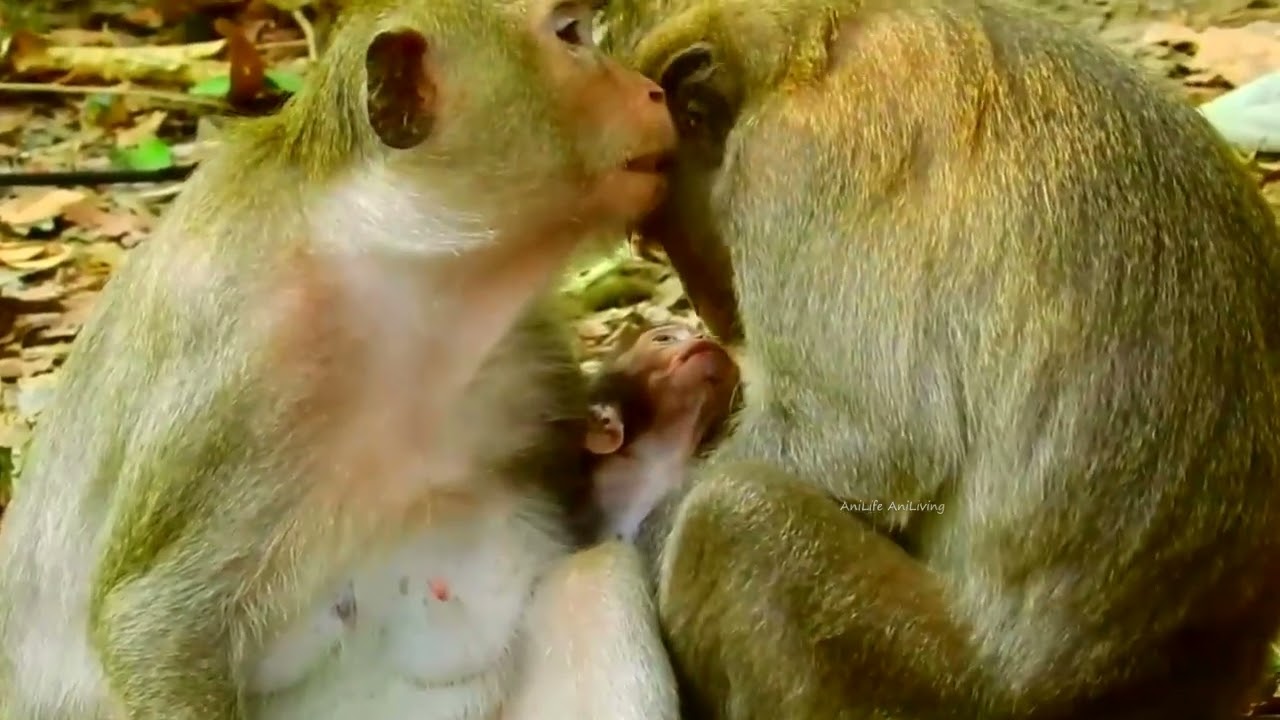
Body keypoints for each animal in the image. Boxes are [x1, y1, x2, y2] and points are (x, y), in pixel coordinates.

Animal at [0, 0, 680, 718]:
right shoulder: (239, 377)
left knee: (596, 578)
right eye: (571, 35)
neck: (407, 283)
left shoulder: (531, 348)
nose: (653, 91)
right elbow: (153, 623)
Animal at [597, 0, 1280, 718]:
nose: (709, 306)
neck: (806, 52)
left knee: (732, 517)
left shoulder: (790, 166)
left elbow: (873, 440)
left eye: (660, 229)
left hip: (935, 688)